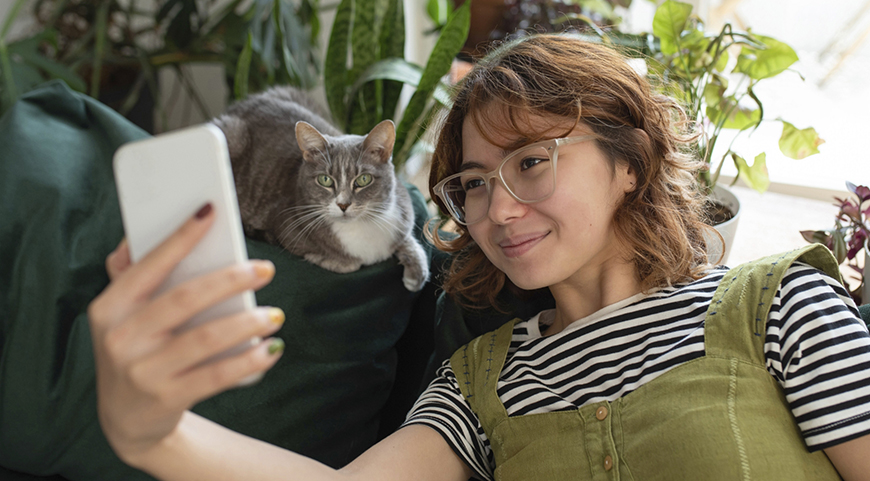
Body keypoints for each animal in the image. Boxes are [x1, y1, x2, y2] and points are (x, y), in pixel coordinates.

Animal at [211, 85, 430, 288]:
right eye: (325, 180)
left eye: (363, 180)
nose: (343, 205)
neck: (362, 227)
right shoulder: (286, 226)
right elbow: (350, 264)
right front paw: (329, 259)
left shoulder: (403, 213)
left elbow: (407, 239)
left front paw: (416, 274)